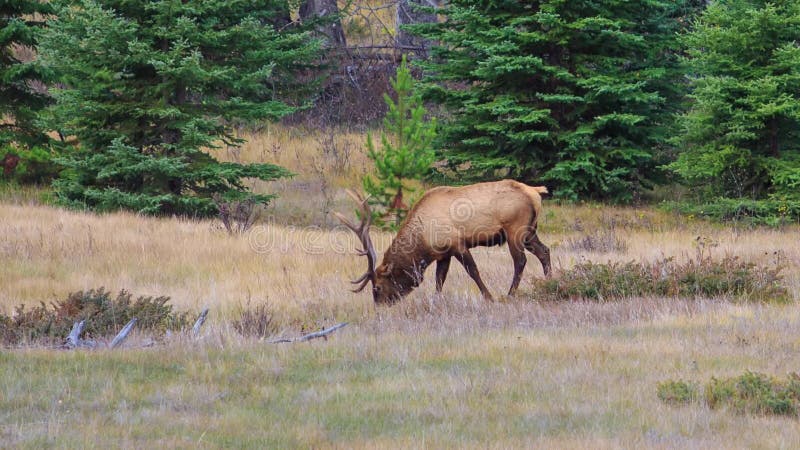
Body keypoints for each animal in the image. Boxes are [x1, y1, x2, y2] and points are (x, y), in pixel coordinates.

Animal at [336, 178, 552, 302]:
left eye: (377, 287)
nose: (379, 307)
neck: (423, 240)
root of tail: (536, 191)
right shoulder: (443, 254)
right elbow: (439, 279)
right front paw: (437, 300)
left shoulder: (457, 244)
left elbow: (473, 271)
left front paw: (489, 297)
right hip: (530, 231)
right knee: (544, 251)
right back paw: (550, 282)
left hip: (515, 230)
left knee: (520, 261)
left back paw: (509, 295)